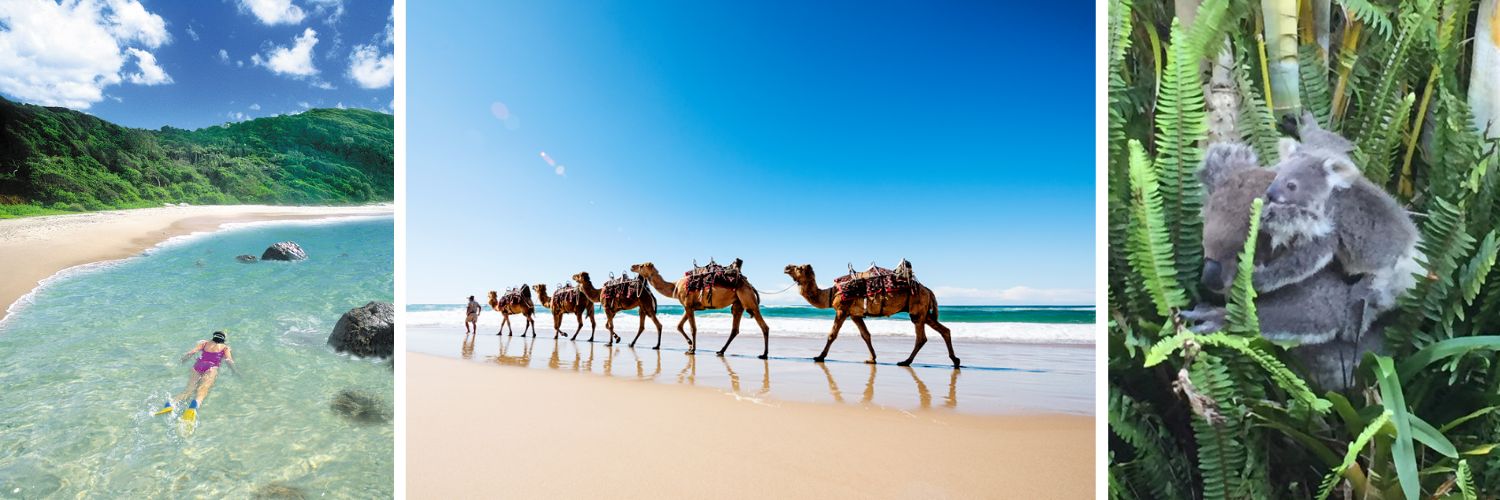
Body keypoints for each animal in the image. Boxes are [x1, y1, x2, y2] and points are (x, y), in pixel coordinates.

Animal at [631, 261, 771, 359]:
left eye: (642, 265)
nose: (632, 266)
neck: (675, 287)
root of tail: (750, 285)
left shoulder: (687, 305)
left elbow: (693, 328)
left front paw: (692, 350)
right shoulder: (690, 307)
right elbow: (679, 326)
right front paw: (689, 345)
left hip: (747, 299)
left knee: (763, 325)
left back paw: (764, 355)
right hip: (738, 303)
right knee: (735, 329)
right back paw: (720, 351)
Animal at [783, 263, 959, 368]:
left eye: (799, 268)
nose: (786, 267)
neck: (831, 293)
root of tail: (927, 290)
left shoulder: (842, 310)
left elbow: (832, 335)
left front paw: (819, 357)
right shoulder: (855, 315)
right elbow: (865, 335)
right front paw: (872, 358)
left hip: (917, 309)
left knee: (921, 337)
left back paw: (905, 361)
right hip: (923, 312)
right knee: (944, 330)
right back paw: (955, 361)